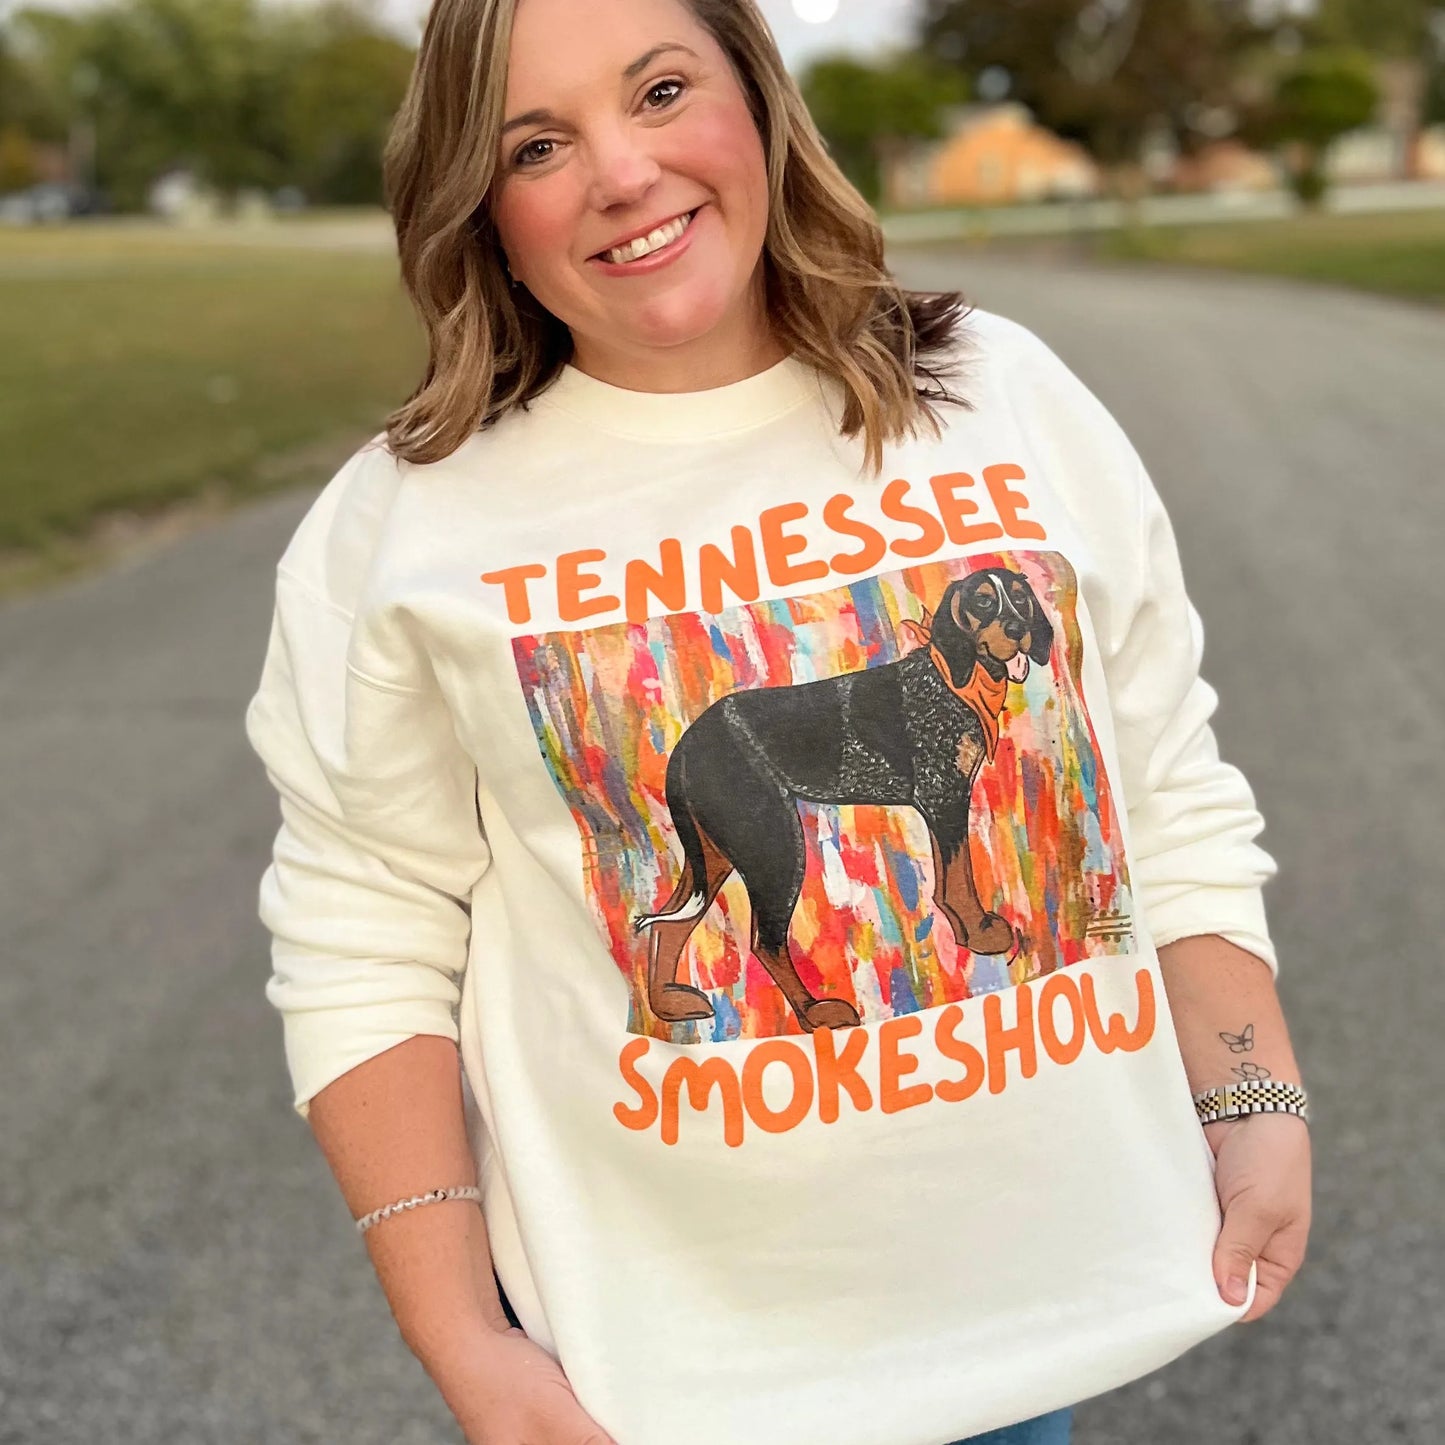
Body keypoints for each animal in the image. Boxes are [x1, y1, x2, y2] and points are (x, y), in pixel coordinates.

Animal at [630, 569, 1051, 1034]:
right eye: (982, 602)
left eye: (1020, 599)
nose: (1018, 629)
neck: (954, 682)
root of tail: (686, 744)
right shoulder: (944, 797)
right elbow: (960, 881)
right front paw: (978, 933)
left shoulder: (943, 804)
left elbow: (947, 882)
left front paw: (966, 932)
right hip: (775, 845)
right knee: (765, 941)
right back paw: (815, 1013)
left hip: (717, 854)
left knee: (669, 924)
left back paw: (667, 1005)